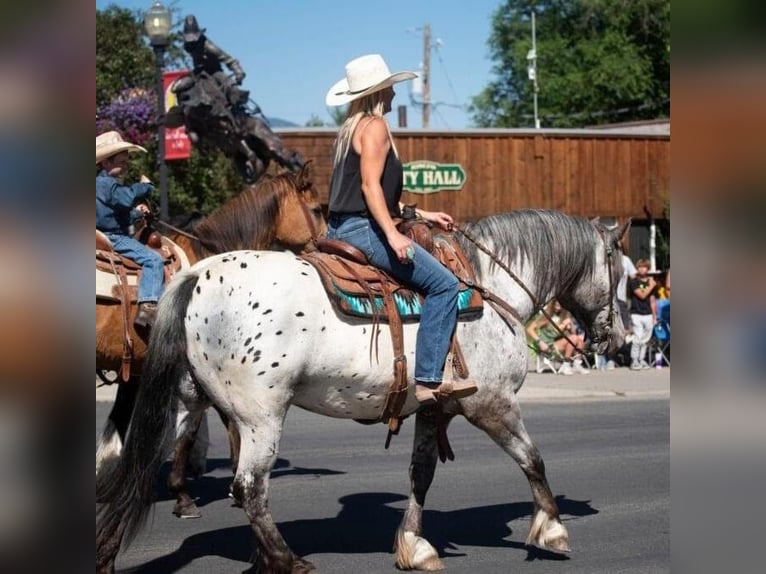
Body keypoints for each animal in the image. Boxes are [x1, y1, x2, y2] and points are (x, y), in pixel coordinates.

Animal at [97, 213, 632, 574]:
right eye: (625, 275)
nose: (621, 341)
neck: (486, 284)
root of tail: (194, 275)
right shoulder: (491, 404)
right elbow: (533, 460)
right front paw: (552, 529)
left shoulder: (435, 410)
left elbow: (421, 475)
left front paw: (415, 546)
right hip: (259, 416)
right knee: (248, 487)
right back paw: (286, 560)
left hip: (194, 402)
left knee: (157, 465)